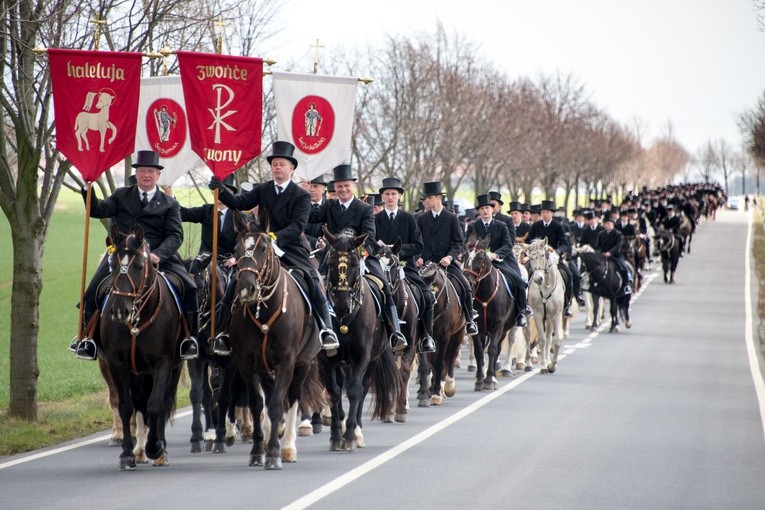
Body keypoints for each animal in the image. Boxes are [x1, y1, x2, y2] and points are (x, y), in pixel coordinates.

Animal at [99, 225, 183, 472]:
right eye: (114, 264)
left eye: (138, 266)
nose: (120, 310)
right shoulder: (116, 364)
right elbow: (126, 406)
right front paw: (127, 453)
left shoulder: (163, 363)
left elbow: (155, 405)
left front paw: (155, 447)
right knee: (137, 403)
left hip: (174, 368)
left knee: (161, 402)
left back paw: (159, 450)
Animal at [225, 212, 324, 470]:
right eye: (237, 248)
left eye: (262, 248)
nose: (246, 288)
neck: (265, 310)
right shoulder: (247, 363)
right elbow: (258, 404)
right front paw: (258, 450)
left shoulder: (286, 361)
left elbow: (279, 403)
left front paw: (274, 454)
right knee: (269, 399)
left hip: (303, 363)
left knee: (294, 397)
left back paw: (288, 447)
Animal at [320, 227, 400, 450]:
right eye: (330, 262)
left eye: (355, 264)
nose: (341, 306)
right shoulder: (327, 360)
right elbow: (334, 392)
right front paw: (336, 435)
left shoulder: (362, 356)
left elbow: (355, 390)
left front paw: (350, 435)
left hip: (373, 358)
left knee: (363, 388)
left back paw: (357, 431)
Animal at [418, 262, 466, 406]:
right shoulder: (427, 339)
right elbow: (429, 363)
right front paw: (430, 389)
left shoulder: (445, 336)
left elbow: (439, 363)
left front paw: (436, 394)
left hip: (458, 334)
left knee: (451, 356)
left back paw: (448, 387)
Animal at [524, 239, 568, 374]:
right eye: (530, 257)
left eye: (543, 255)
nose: (538, 279)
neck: (546, 286)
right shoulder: (537, 314)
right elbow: (541, 340)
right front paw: (543, 366)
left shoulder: (556, 314)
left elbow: (556, 340)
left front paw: (551, 366)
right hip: (529, 315)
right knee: (528, 336)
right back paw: (528, 364)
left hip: (549, 318)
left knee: (549, 336)